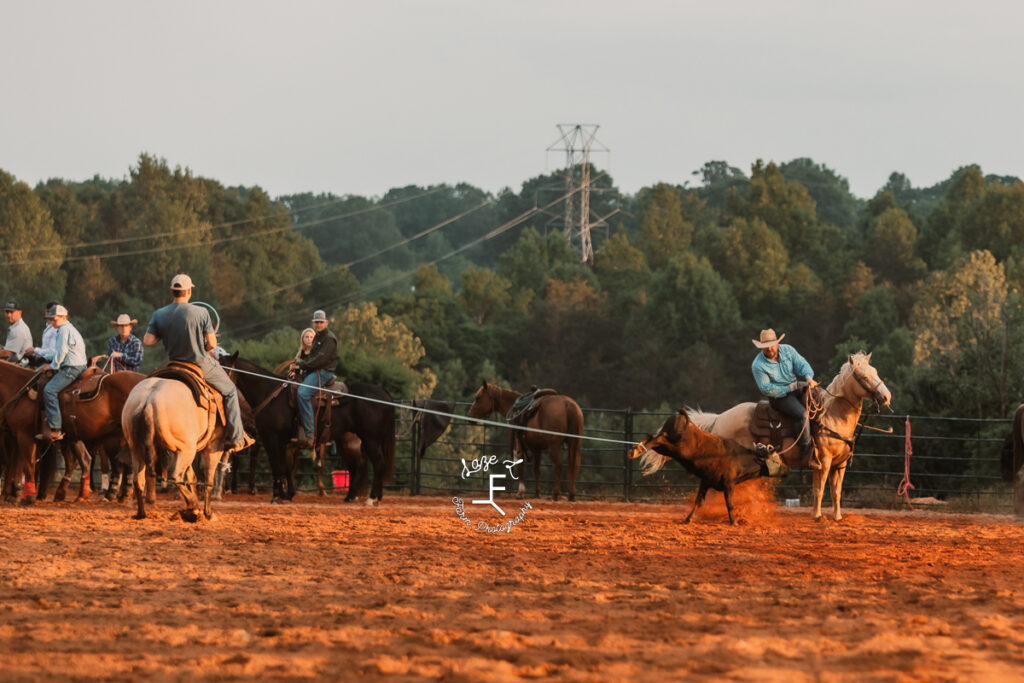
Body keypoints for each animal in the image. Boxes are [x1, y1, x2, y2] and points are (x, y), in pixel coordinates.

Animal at [626, 409, 786, 528]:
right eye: (776, 460)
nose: (787, 470)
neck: (740, 458)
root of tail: (684, 419)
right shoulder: (728, 484)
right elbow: (730, 503)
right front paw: (734, 522)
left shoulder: (706, 482)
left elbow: (699, 502)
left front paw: (688, 519)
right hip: (673, 447)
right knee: (659, 438)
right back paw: (635, 451)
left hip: (668, 448)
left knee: (654, 437)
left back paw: (637, 448)